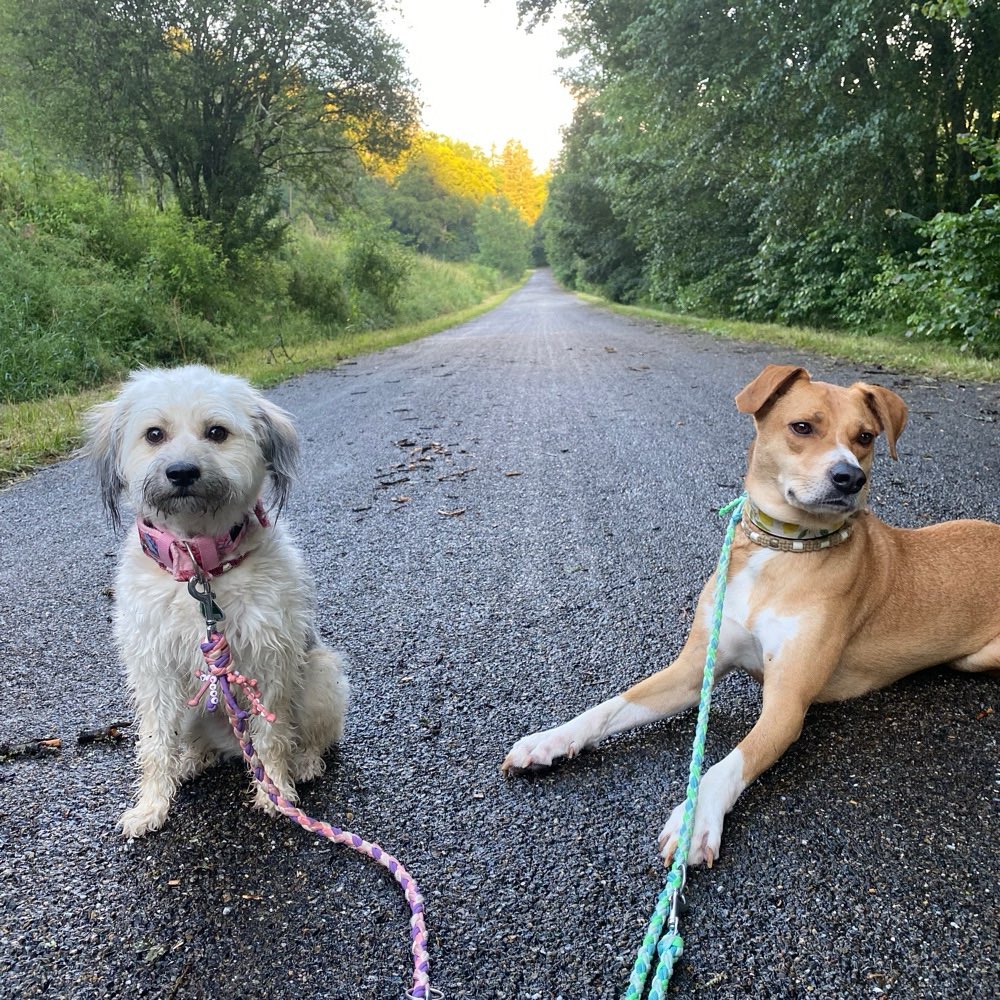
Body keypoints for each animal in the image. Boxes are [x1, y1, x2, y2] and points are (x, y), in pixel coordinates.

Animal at [87, 366, 352, 836]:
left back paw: (303, 761)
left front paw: (275, 793)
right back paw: (192, 760)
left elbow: (272, 736)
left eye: (216, 432)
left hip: (321, 676)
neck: (199, 566)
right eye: (154, 434)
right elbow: (155, 743)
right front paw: (151, 806)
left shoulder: (269, 661)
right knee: (191, 743)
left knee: (305, 737)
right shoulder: (154, 670)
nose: (181, 471)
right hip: (195, 711)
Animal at [504, 366, 1000, 868]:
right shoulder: (692, 672)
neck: (783, 547)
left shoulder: (787, 705)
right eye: (802, 427)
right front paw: (551, 738)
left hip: (977, 656)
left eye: (865, 437)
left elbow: (727, 764)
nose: (850, 478)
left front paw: (695, 816)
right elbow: (611, 706)